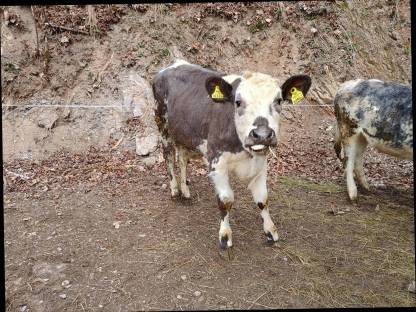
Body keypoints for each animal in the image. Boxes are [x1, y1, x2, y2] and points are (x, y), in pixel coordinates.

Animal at [151, 58, 310, 249]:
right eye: (238, 102)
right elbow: (226, 200)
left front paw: (270, 231)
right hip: (162, 125)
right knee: (168, 156)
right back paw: (175, 190)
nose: (262, 134)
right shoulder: (216, 161)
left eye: (278, 101)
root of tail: (175, 63)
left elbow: (262, 198)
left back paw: (185, 191)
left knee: (182, 159)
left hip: (184, 134)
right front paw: (225, 236)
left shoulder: (261, 163)